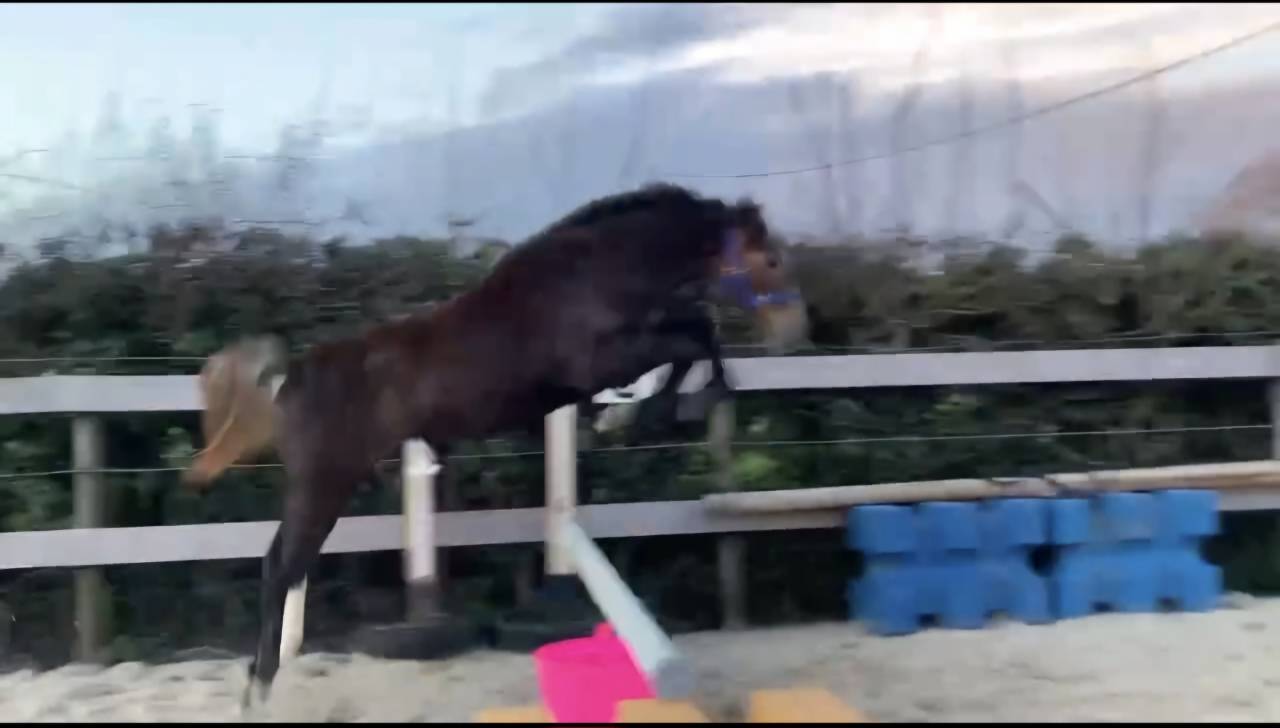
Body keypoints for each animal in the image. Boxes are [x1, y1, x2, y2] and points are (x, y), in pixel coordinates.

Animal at [180, 182, 809, 708]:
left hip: (324, 487)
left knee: (283, 565)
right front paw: (646, 415)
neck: (593, 273)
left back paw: (261, 681)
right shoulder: (598, 362)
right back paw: (260, 689)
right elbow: (694, 337)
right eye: (771, 260)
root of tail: (290, 377)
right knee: (280, 567)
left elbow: (695, 334)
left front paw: (639, 415)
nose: (795, 330)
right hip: (322, 486)